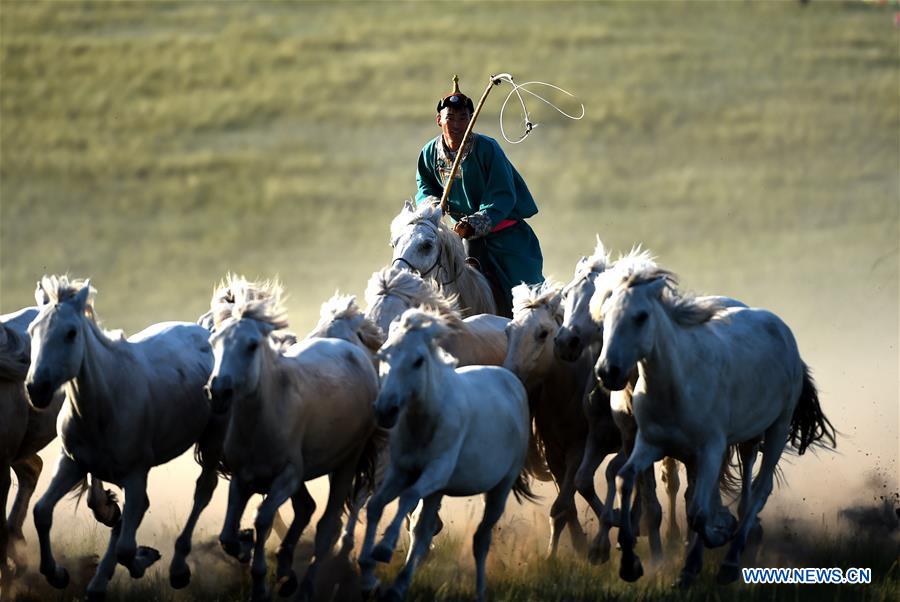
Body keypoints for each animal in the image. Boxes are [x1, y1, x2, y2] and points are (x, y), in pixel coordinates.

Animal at [24, 276, 225, 596]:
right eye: (32, 330)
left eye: (71, 333)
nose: (37, 389)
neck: (105, 404)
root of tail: (205, 330)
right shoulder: (72, 463)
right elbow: (42, 512)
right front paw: (58, 575)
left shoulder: (135, 473)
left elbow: (126, 548)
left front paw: (144, 560)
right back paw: (96, 584)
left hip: (212, 441)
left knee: (202, 491)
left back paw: (178, 570)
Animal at [207, 276, 380, 600]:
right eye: (214, 341)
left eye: (252, 345)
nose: (218, 391)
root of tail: (351, 346)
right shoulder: (242, 477)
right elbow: (227, 535)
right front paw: (245, 546)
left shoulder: (287, 476)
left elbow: (262, 518)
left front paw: (261, 582)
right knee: (307, 508)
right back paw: (287, 570)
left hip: (346, 464)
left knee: (327, 527)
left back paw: (305, 587)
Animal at [356, 310, 536, 600]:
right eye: (384, 354)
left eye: (418, 361)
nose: (385, 410)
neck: (427, 420)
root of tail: (511, 380)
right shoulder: (403, 471)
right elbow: (376, 504)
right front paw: (367, 572)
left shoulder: (436, 471)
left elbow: (407, 497)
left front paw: (383, 548)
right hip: (437, 492)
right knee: (423, 532)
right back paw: (399, 586)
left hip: (500, 488)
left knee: (481, 539)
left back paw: (480, 592)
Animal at [592, 260, 836, 580]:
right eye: (605, 315)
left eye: (641, 316)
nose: (607, 371)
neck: (676, 386)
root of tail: (779, 325)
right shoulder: (649, 444)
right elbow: (626, 479)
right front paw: (631, 563)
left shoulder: (710, 449)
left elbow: (698, 511)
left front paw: (714, 538)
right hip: (746, 438)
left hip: (776, 429)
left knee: (758, 490)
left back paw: (731, 561)